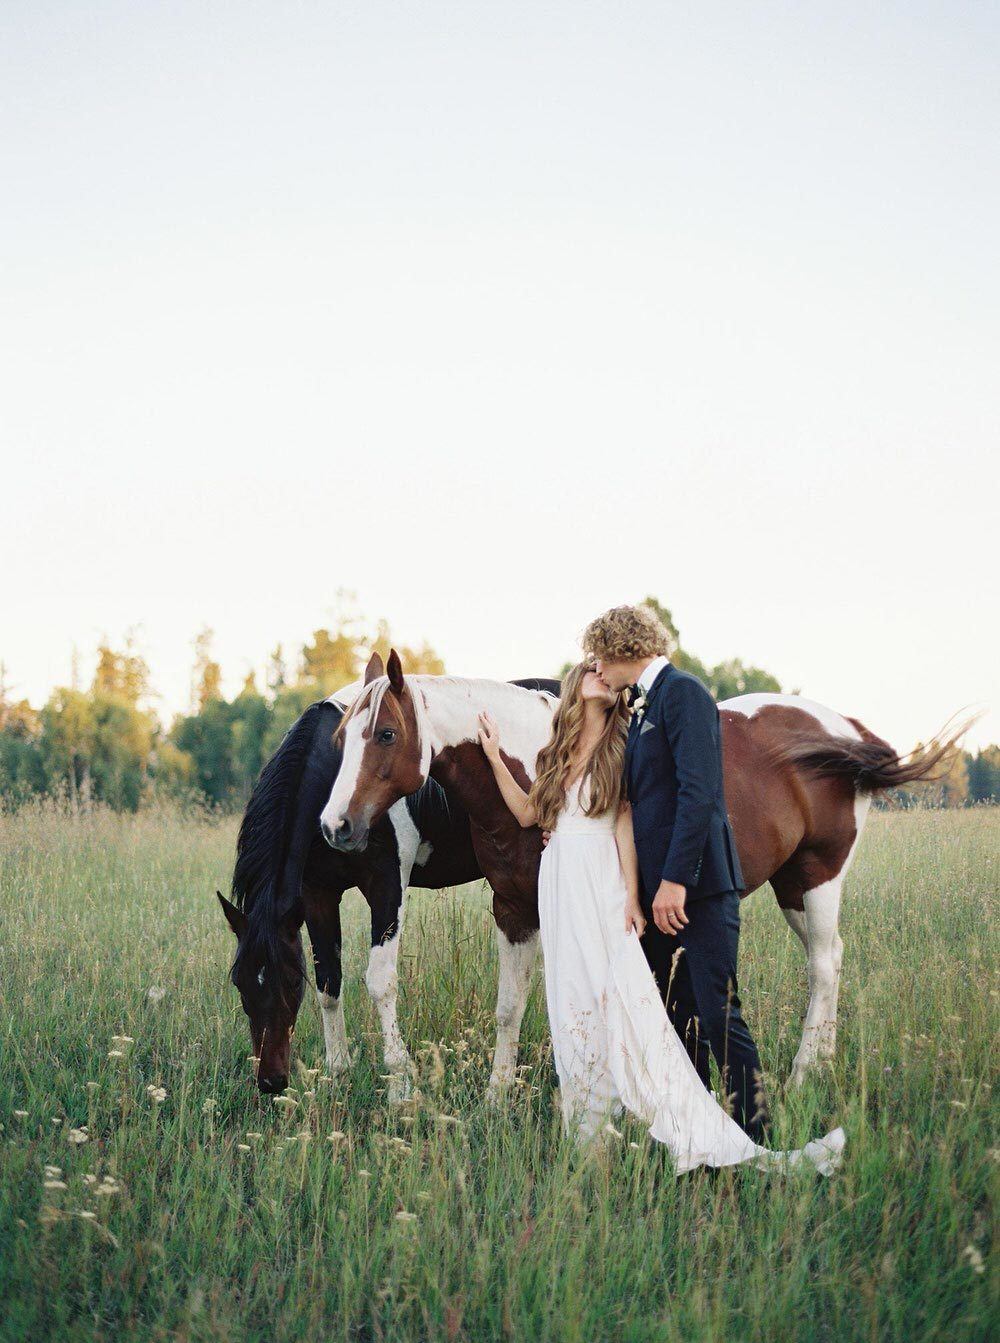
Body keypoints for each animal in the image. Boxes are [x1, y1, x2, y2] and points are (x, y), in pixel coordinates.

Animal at [218, 655, 558, 1095]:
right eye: (240, 982)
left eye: (292, 982)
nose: (271, 1081)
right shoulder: (317, 893)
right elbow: (328, 981)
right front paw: (338, 1071)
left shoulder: (386, 885)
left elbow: (380, 981)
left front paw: (401, 1082)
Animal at [322, 655, 966, 1085]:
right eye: (341, 738)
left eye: (386, 733)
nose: (335, 826)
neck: (535, 767)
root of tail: (845, 729)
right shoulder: (514, 911)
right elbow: (510, 1009)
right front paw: (497, 1098)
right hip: (793, 888)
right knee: (828, 959)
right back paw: (821, 1063)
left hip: (819, 878)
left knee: (824, 966)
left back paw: (805, 1073)